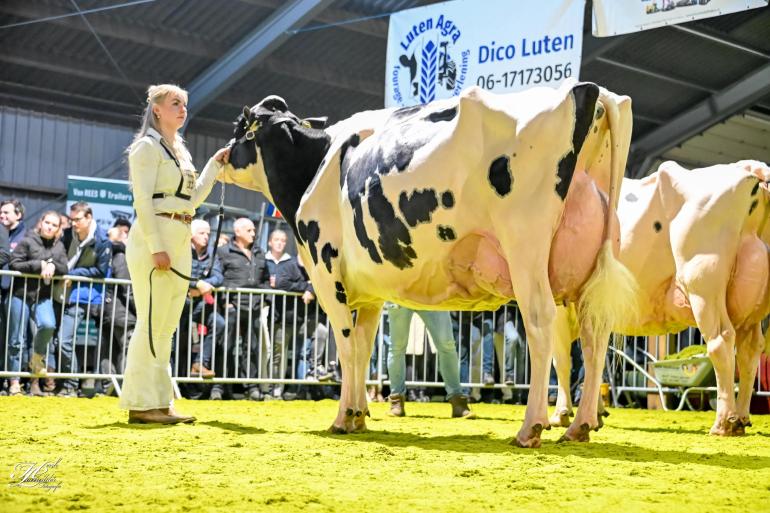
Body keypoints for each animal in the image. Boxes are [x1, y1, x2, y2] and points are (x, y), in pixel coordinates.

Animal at [219, 79, 632, 444]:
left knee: (540, 323)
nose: (222, 155)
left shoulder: (325, 270)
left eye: (240, 126)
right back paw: (580, 425)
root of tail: (587, 89)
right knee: (595, 336)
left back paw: (531, 427)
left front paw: (342, 417)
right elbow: (364, 349)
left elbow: (347, 346)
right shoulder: (370, 293)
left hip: (525, 246)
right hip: (591, 267)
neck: (317, 166)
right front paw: (359, 415)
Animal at [548, 160, 768, 436]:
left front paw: (561, 414)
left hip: (702, 284)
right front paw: (595, 413)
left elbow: (562, 359)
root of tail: (751, 169)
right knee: (750, 350)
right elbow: (592, 358)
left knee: (721, 341)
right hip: (752, 304)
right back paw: (742, 417)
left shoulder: (560, 303)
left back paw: (724, 422)